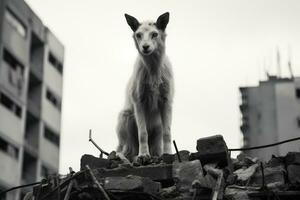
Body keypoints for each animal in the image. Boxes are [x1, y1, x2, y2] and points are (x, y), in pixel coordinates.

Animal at [116, 11, 175, 163]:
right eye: (138, 34)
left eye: (154, 34)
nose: (145, 47)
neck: (153, 69)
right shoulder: (139, 102)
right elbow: (143, 133)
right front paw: (143, 155)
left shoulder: (166, 102)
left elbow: (167, 132)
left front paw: (168, 154)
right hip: (125, 117)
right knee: (122, 148)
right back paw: (124, 157)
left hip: (157, 126)